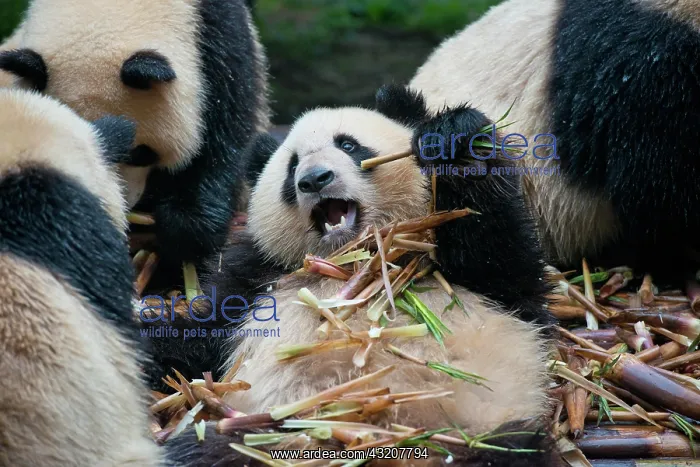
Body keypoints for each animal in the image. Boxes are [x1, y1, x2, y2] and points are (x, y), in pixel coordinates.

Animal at [164, 85, 559, 466]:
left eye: (348, 145)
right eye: (292, 166)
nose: (314, 179)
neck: (353, 262)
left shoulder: (493, 282)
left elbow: (498, 249)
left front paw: (452, 136)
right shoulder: (258, 276)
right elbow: (199, 338)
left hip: (479, 431)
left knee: (512, 451)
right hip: (270, 437)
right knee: (212, 451)